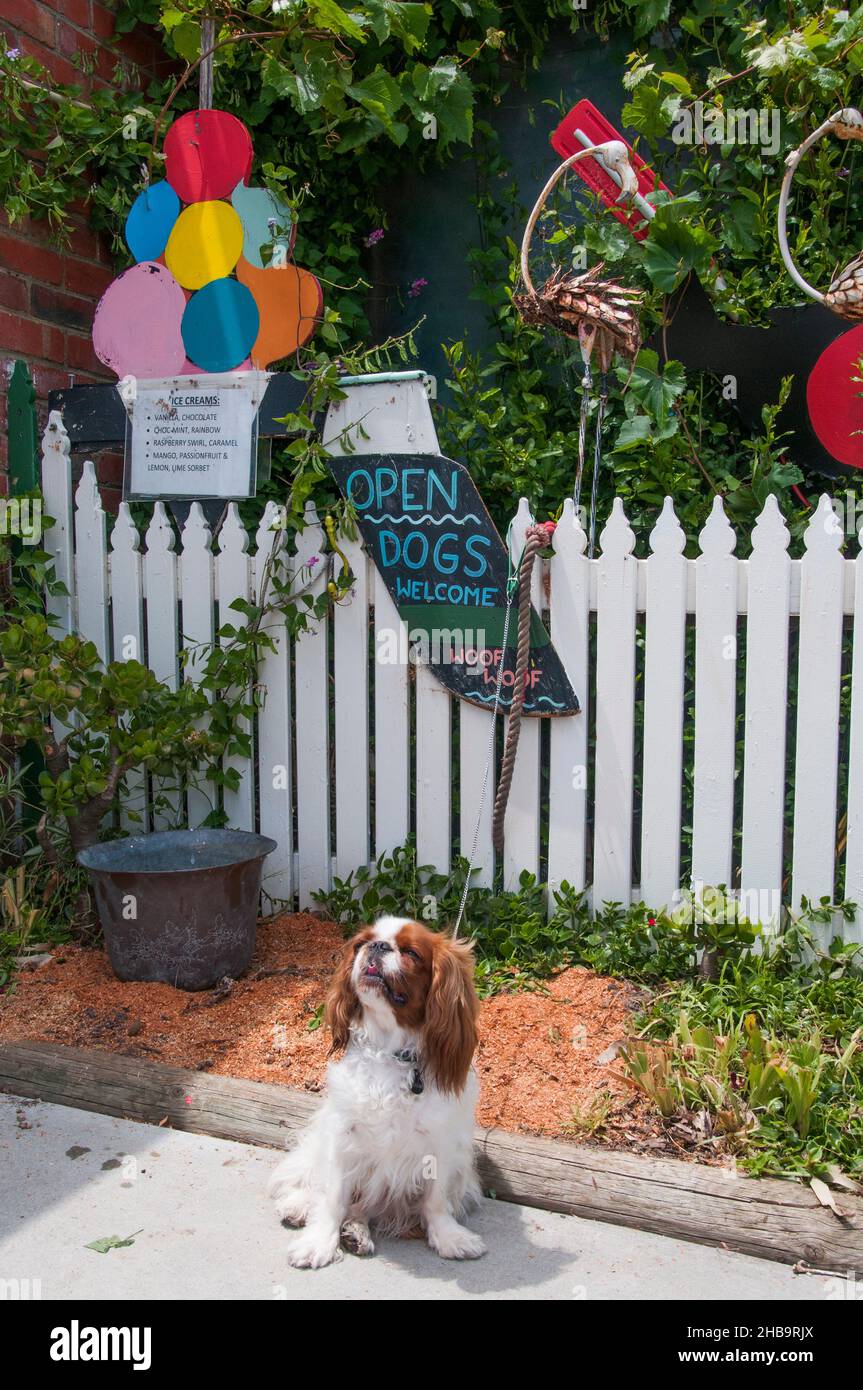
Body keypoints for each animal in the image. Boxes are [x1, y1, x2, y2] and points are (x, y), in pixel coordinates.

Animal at [269, 917, 483, 1267]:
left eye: (411, 952)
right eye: (361, 943)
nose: (378, 946)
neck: (389, 1051)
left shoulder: (440, 1143)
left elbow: (436, 1201)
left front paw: (448, 1237)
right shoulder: (343, 1135)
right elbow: (332, 1196)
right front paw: (318, 1242)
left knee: (361, 1208)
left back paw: (356, 1233)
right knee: (316, 1180)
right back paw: (299, 1206)